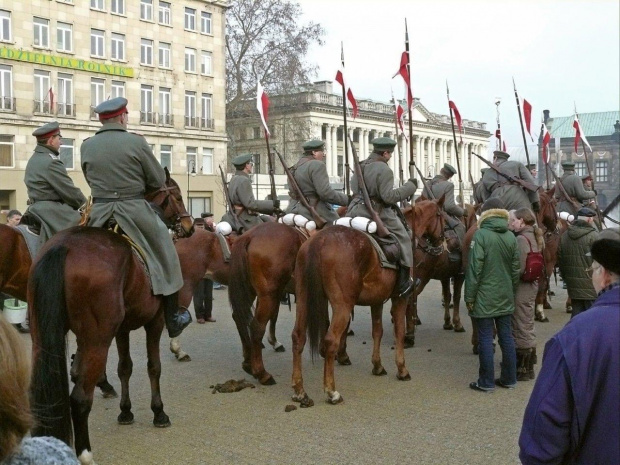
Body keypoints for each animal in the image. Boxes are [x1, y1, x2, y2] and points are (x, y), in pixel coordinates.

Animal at [28, 174, 194, 464]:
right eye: (176, 195)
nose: (189, 225)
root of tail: (62, 246)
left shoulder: (121, 330)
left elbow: (125, 367)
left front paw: (125, 411)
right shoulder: (155, 323)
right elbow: (153, 366)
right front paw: (159, 412)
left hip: (44, 336)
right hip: (96, 340)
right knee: (80, 398)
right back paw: (84, 454)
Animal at [292, 200, 446, 406]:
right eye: (441, 216)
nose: (442, 244)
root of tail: (319, 241)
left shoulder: (377, 300)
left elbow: (377, 331)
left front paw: (378, 365)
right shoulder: (401, 298)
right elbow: (398, 331)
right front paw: (402, 369)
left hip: (303, 299)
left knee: (298, 337)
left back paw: (300, 391)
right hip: (342, 306)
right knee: (331, 340)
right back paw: (332, 391)